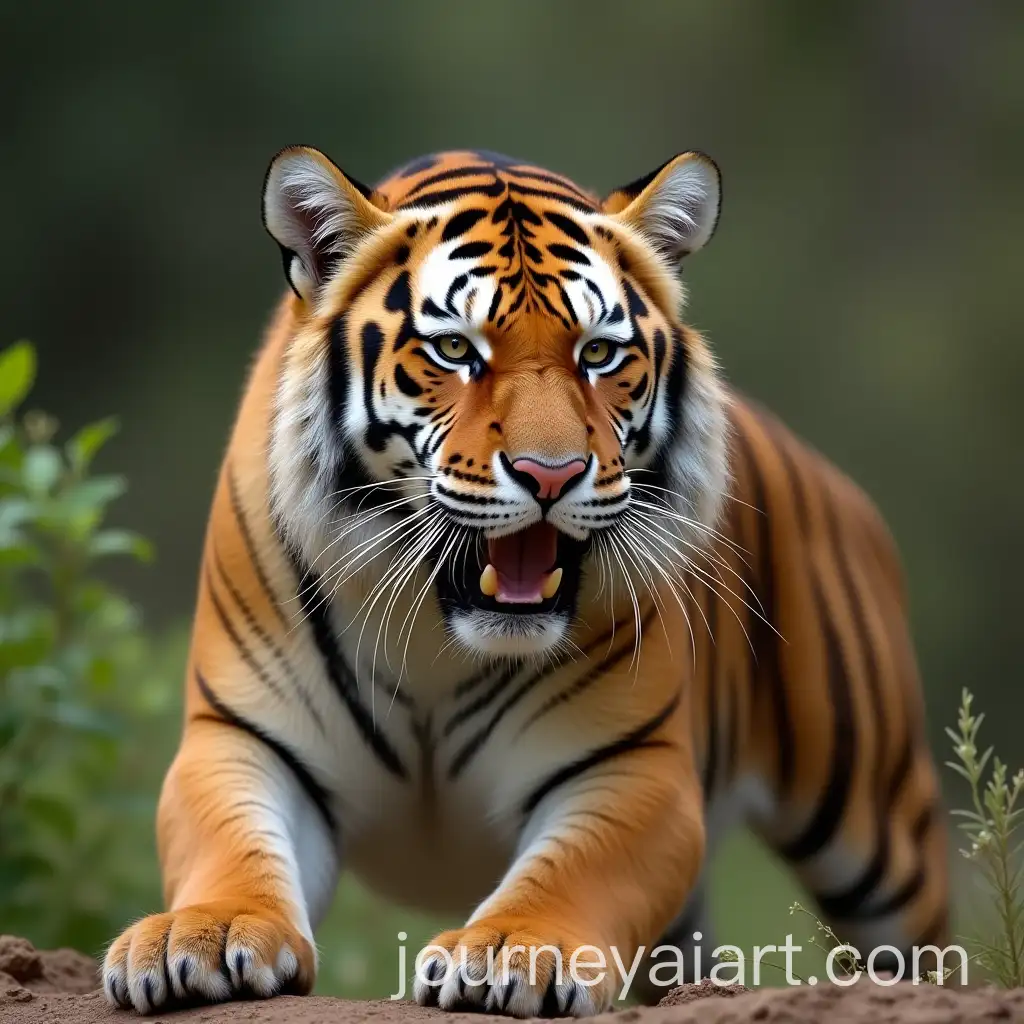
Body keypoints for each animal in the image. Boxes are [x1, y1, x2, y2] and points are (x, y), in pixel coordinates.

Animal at [103, 146, 949, 1016]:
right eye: (455, 350)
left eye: (599, 355)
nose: (552, 474)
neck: (437, 636)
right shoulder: (241, 736)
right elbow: (230, 843)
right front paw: (202, 933)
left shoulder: (630, 761)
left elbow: (572, 871)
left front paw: (511, 950)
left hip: (874, 822)